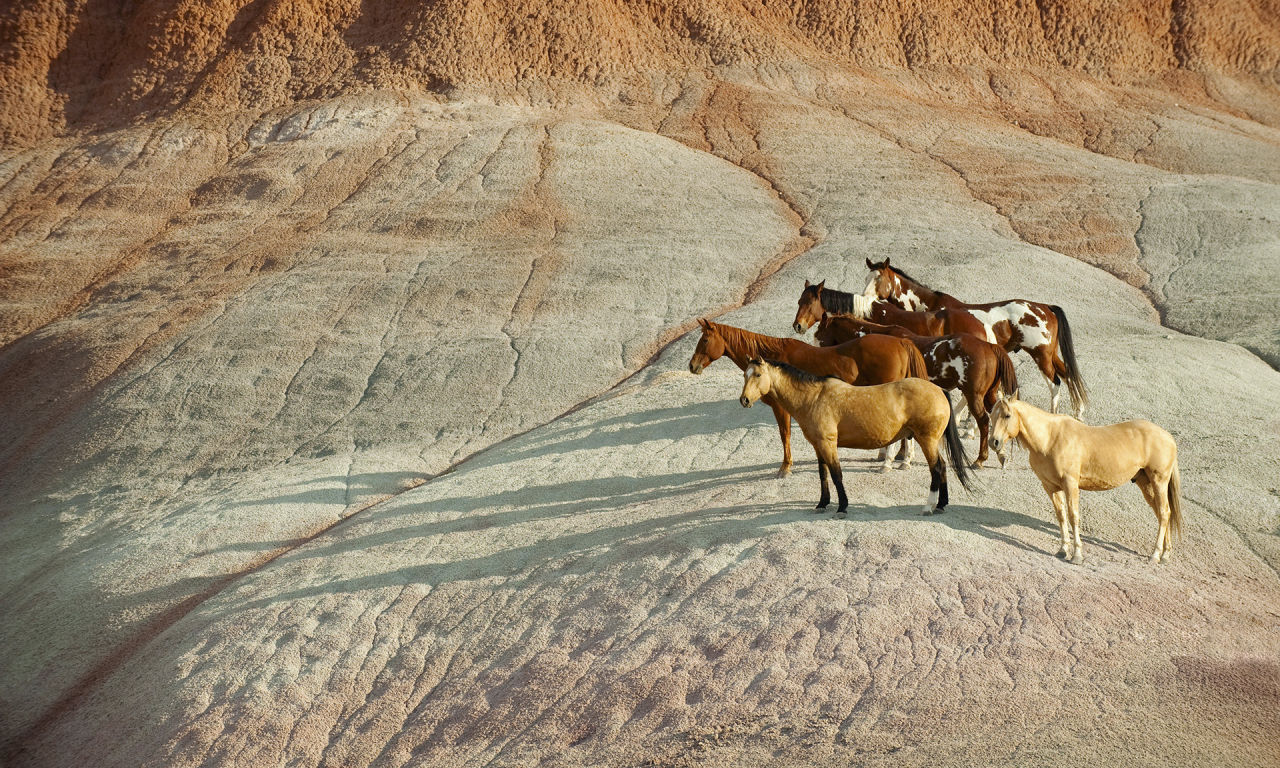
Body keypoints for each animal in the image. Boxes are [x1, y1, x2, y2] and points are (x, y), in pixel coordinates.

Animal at [691, 317, 931, 473]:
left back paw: (889, 462)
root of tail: (900, 341)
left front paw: (786, 467)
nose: (692, 366)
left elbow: (785, 434)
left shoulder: (781, 408)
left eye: (704, 340)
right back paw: (903, 460)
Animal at [737, 360, 972, 517]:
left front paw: (842, 507)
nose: (744, 400)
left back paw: (928, 506)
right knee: (942, 466)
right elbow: (823, 475)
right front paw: (822, 503)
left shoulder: (828, 444)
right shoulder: (818, 446)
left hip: (927, 440)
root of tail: (939, 390)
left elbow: (836, 475)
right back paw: (941, 504)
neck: (813, 398)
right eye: (744, 375)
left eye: (758, 375)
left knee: (937, 468)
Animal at [819, 312, 1018, 468]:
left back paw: (980, 458)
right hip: (988, 395)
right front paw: (900, 454)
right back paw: (1000, 452)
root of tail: (990, 346)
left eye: (819, 335)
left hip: (974, 395)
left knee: (983, 420)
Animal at [860, 258, 1090, 417]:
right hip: (1050, 354)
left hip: (1040, 356)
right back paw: (1078, 411)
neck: (931, 308)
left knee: (1055, 383)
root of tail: (1046, 307)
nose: (864, 298)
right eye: (866, 278)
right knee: (1068, 375)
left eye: (879, 278)